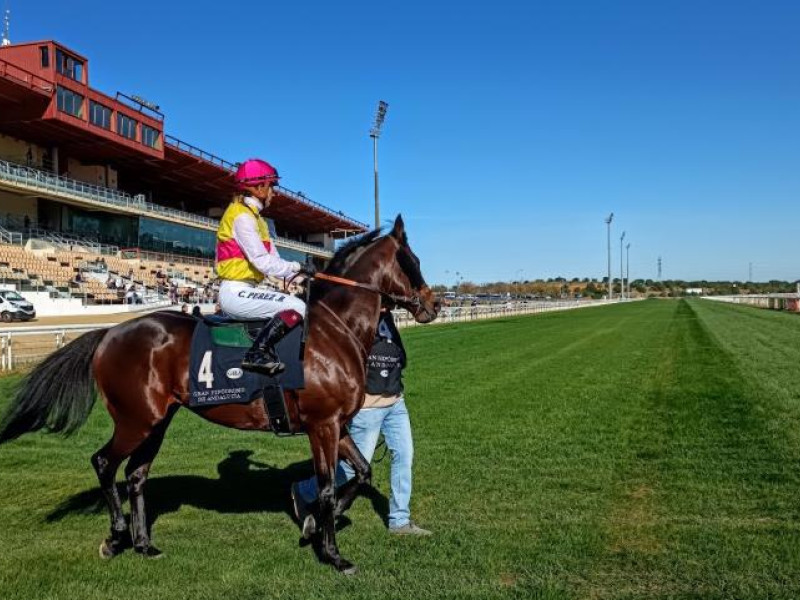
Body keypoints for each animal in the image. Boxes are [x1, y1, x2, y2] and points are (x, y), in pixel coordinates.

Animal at [0, 217, 438, 576]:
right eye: (411, 260)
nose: (433, 305)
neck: (333, 331)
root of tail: (108, 333)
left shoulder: (336, 425)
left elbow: (362, 473)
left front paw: (311, 524)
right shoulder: (323, 425)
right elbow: (329, 488)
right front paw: (334, 554)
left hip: (157, 420)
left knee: (136, 475)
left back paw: (144, 544)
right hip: (135, 419)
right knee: (105, 462)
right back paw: (116, 537)